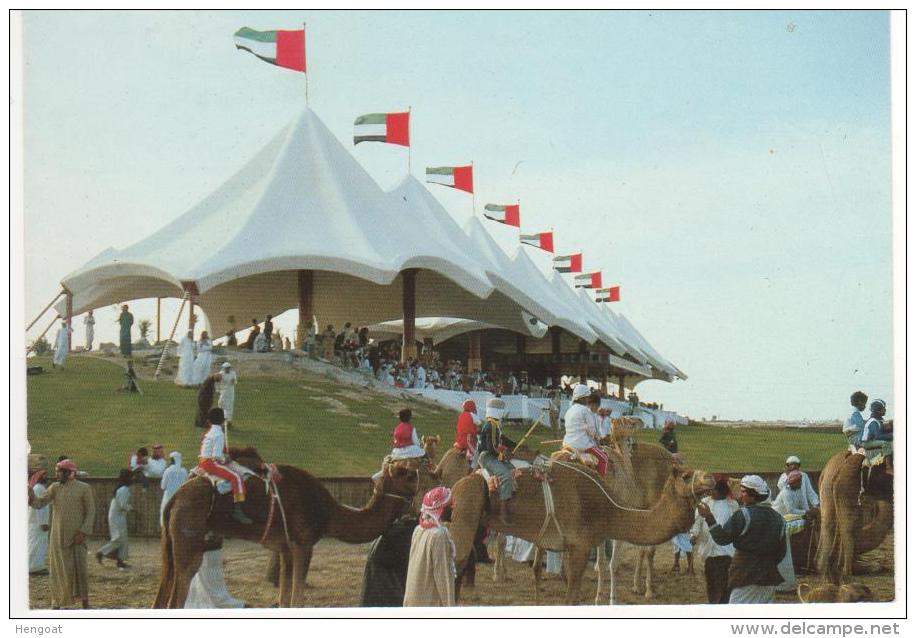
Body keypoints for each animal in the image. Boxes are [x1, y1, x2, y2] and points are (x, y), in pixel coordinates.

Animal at [154, 450, 418, 608]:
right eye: (405, 473)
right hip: (190, 537)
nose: (419, 470)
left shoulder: (284, 548)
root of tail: (176, 496)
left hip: (172, 540)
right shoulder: (303, 544)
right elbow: (297, 599)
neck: (328, 512)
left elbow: (285, 597)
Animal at [450, 456, 716, 604]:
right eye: (686, 475)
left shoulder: (570, 547)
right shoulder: (580, 546)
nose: (711, 478)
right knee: (458, 561)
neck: (608, 509)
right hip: (467, 504)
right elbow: (571, 599)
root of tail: (462, 481)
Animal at [816, 450, 896, 584]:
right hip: (847, 488)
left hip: (828, 489)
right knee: (849, 528)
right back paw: (847, 579)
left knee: (830, 525)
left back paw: (830, 578)